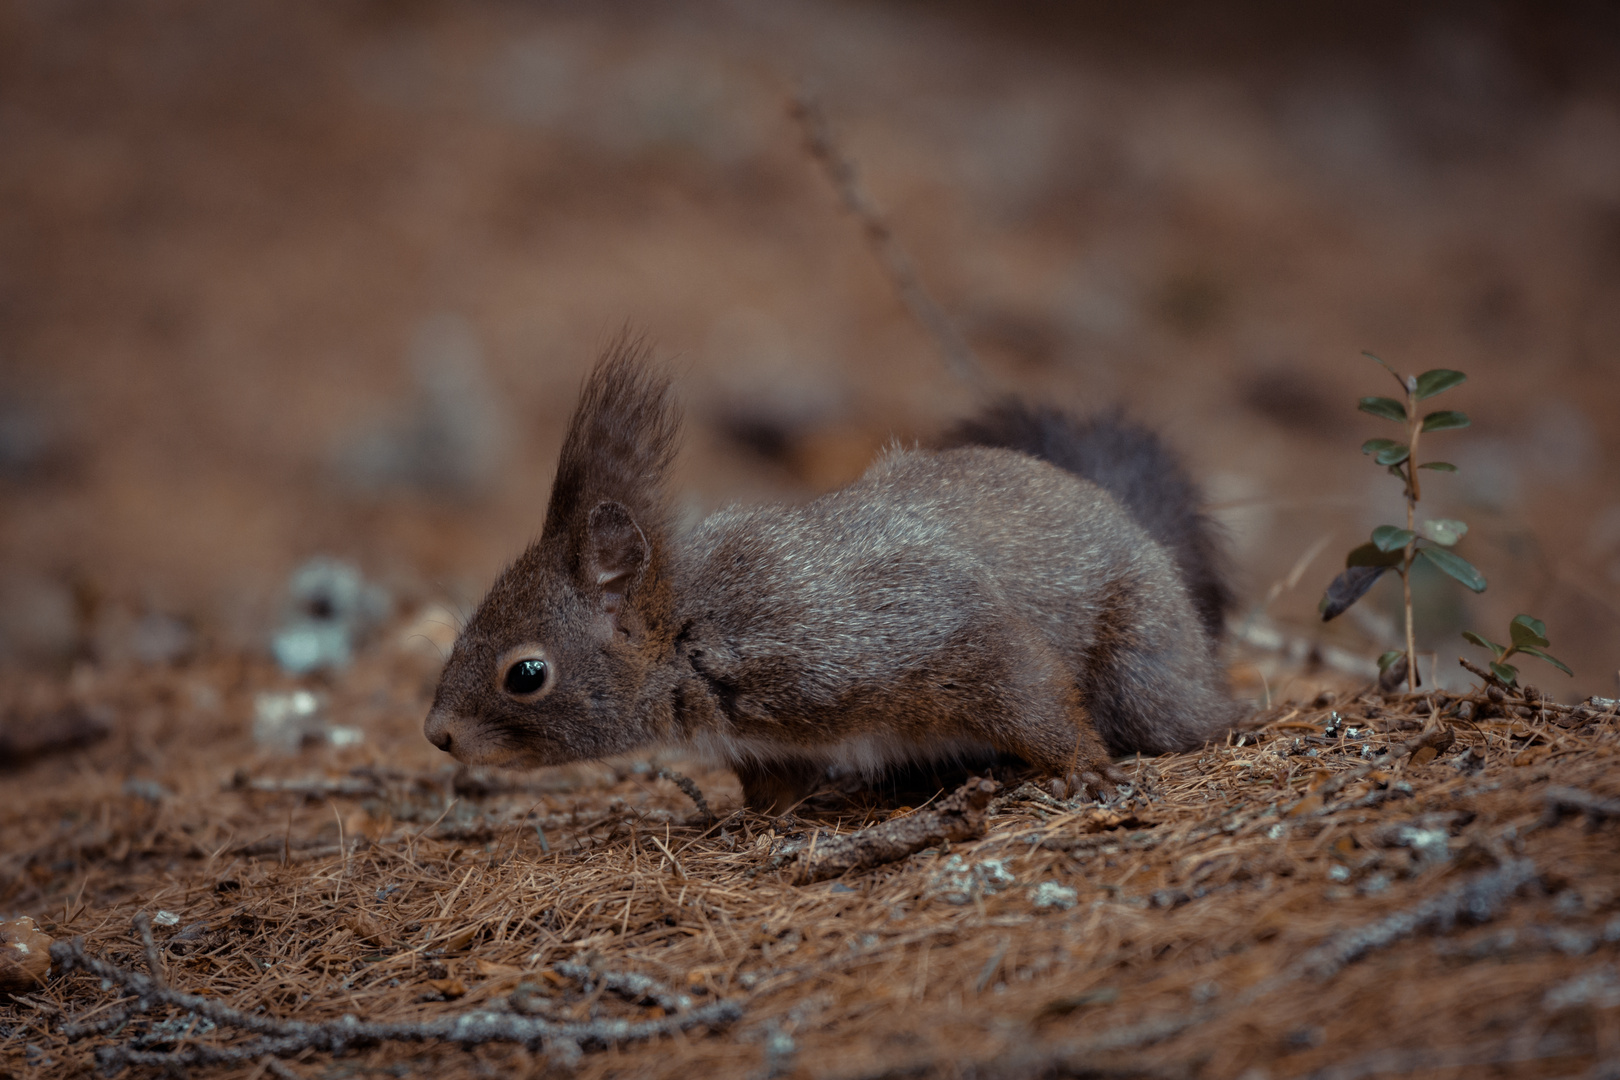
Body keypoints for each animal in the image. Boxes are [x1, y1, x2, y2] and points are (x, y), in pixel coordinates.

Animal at [424, 340, 1231, 809]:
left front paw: (1080, 765)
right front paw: (744, 820)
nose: (438, 736)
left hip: (1143, 665)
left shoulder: (892, 626)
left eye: (526, 674)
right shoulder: (766, 743)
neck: (693, 632)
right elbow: (770, 786)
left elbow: (1017, 680)